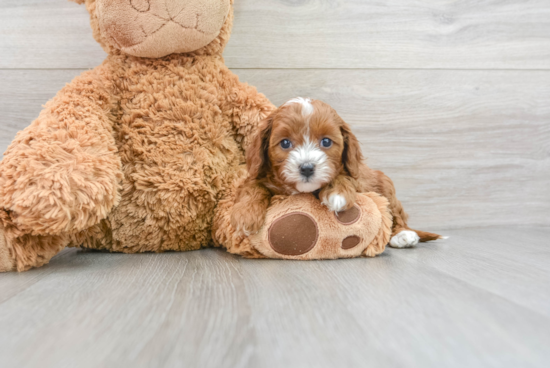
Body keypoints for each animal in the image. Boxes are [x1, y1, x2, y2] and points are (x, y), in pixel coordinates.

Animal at [231, 97, 442, 247]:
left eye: (326, 141)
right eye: (285, 143)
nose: (307, 168)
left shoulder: (357, 175)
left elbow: (343, 175)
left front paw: (337, 193)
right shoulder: (259, 175)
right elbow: (252, 186)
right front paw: (245, 215)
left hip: (386, 184)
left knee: (396, 215)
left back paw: (403, 235)